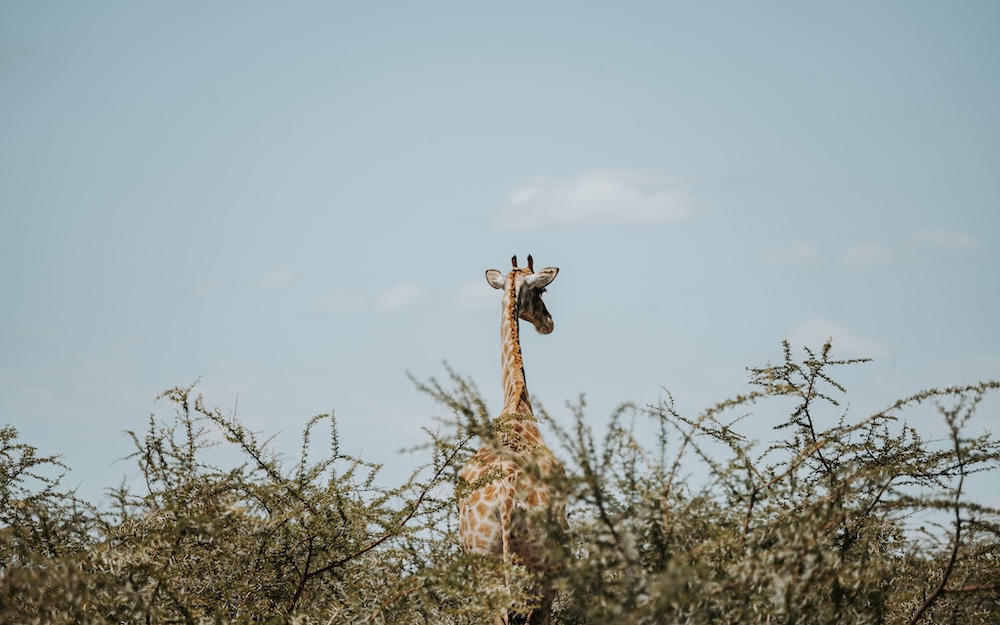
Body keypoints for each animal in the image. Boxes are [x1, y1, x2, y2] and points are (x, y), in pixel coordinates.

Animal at [458, 254, 568, 624]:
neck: (516, 401)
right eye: (542, 290)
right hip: (541, 565)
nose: (549, 322)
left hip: (485, 562)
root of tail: (507, 499)